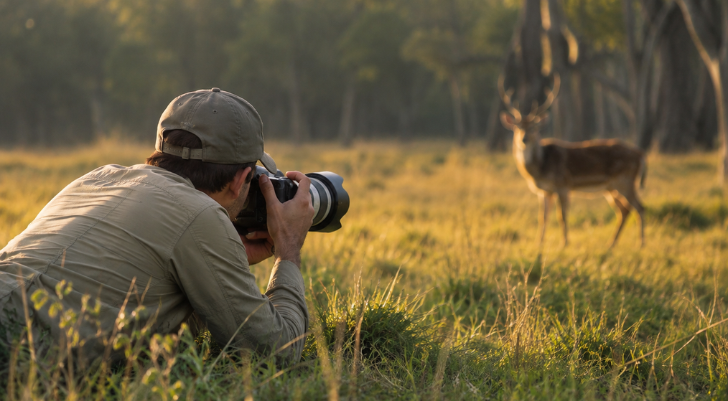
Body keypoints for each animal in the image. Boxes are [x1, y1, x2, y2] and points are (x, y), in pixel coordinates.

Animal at [499, 75, 646, 248]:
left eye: (534, 127)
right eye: (517, 127)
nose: (524, 139)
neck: (541, 168)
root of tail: (640, 154)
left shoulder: (563, 185)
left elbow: (561, 216)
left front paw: (564, 243)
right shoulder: (545, 191)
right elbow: (543, 217)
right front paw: (538, 243)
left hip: (625, 181)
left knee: (639, 207)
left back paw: (640, 244)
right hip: (611, 187)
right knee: (624, 210)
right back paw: (611, 244)